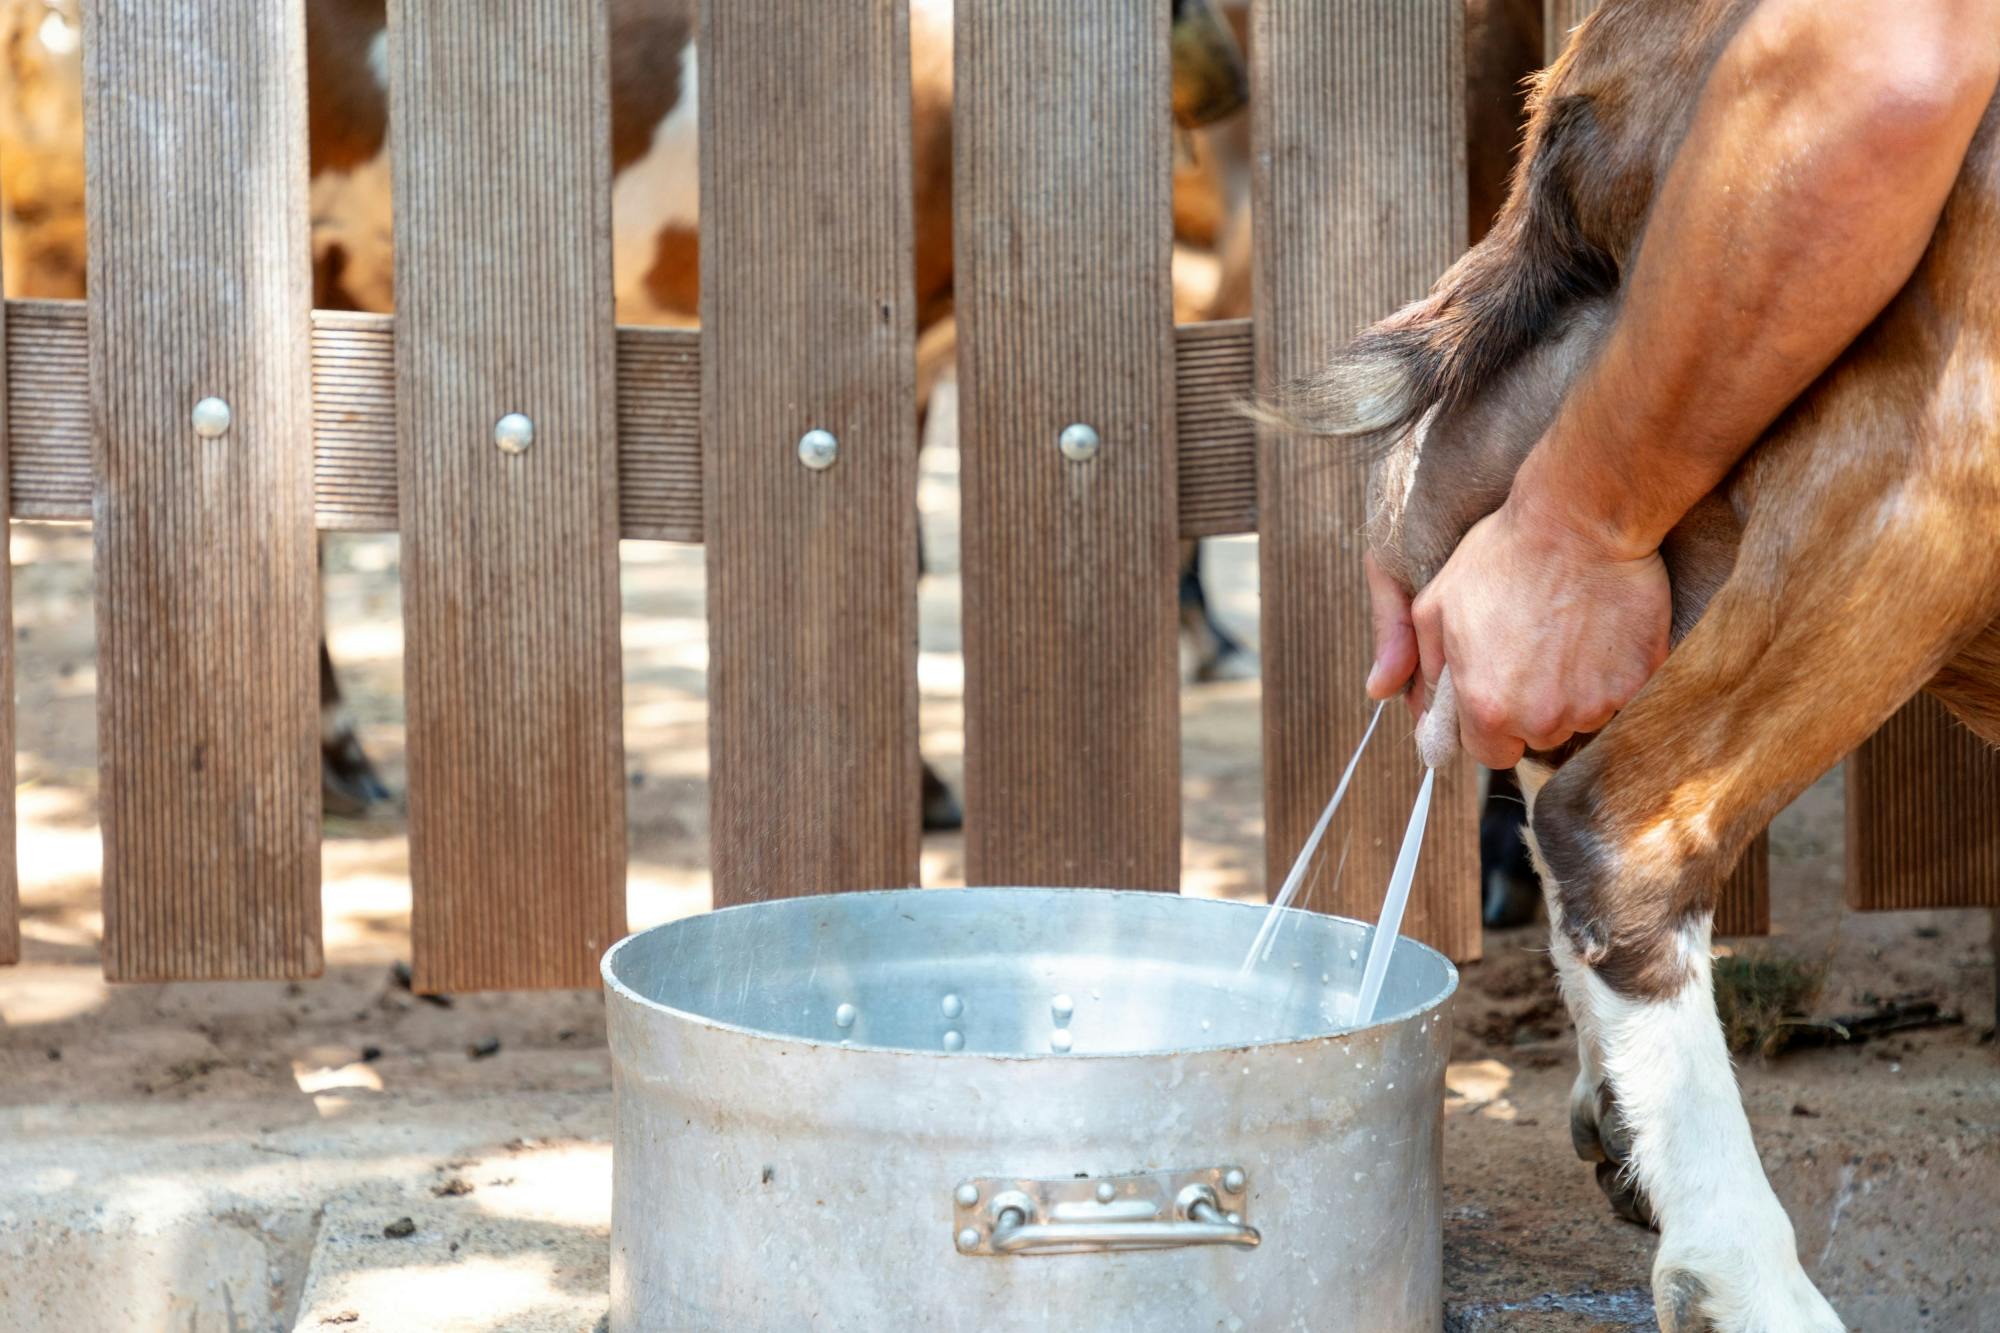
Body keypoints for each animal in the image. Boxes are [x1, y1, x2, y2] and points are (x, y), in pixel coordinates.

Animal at [1272, 2, 2000, 1320]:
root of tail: (1601, 71)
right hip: (1916, 476)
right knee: (1623, 825)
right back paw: (1747, 1280)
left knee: (1550, 767)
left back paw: (1620, 1129)